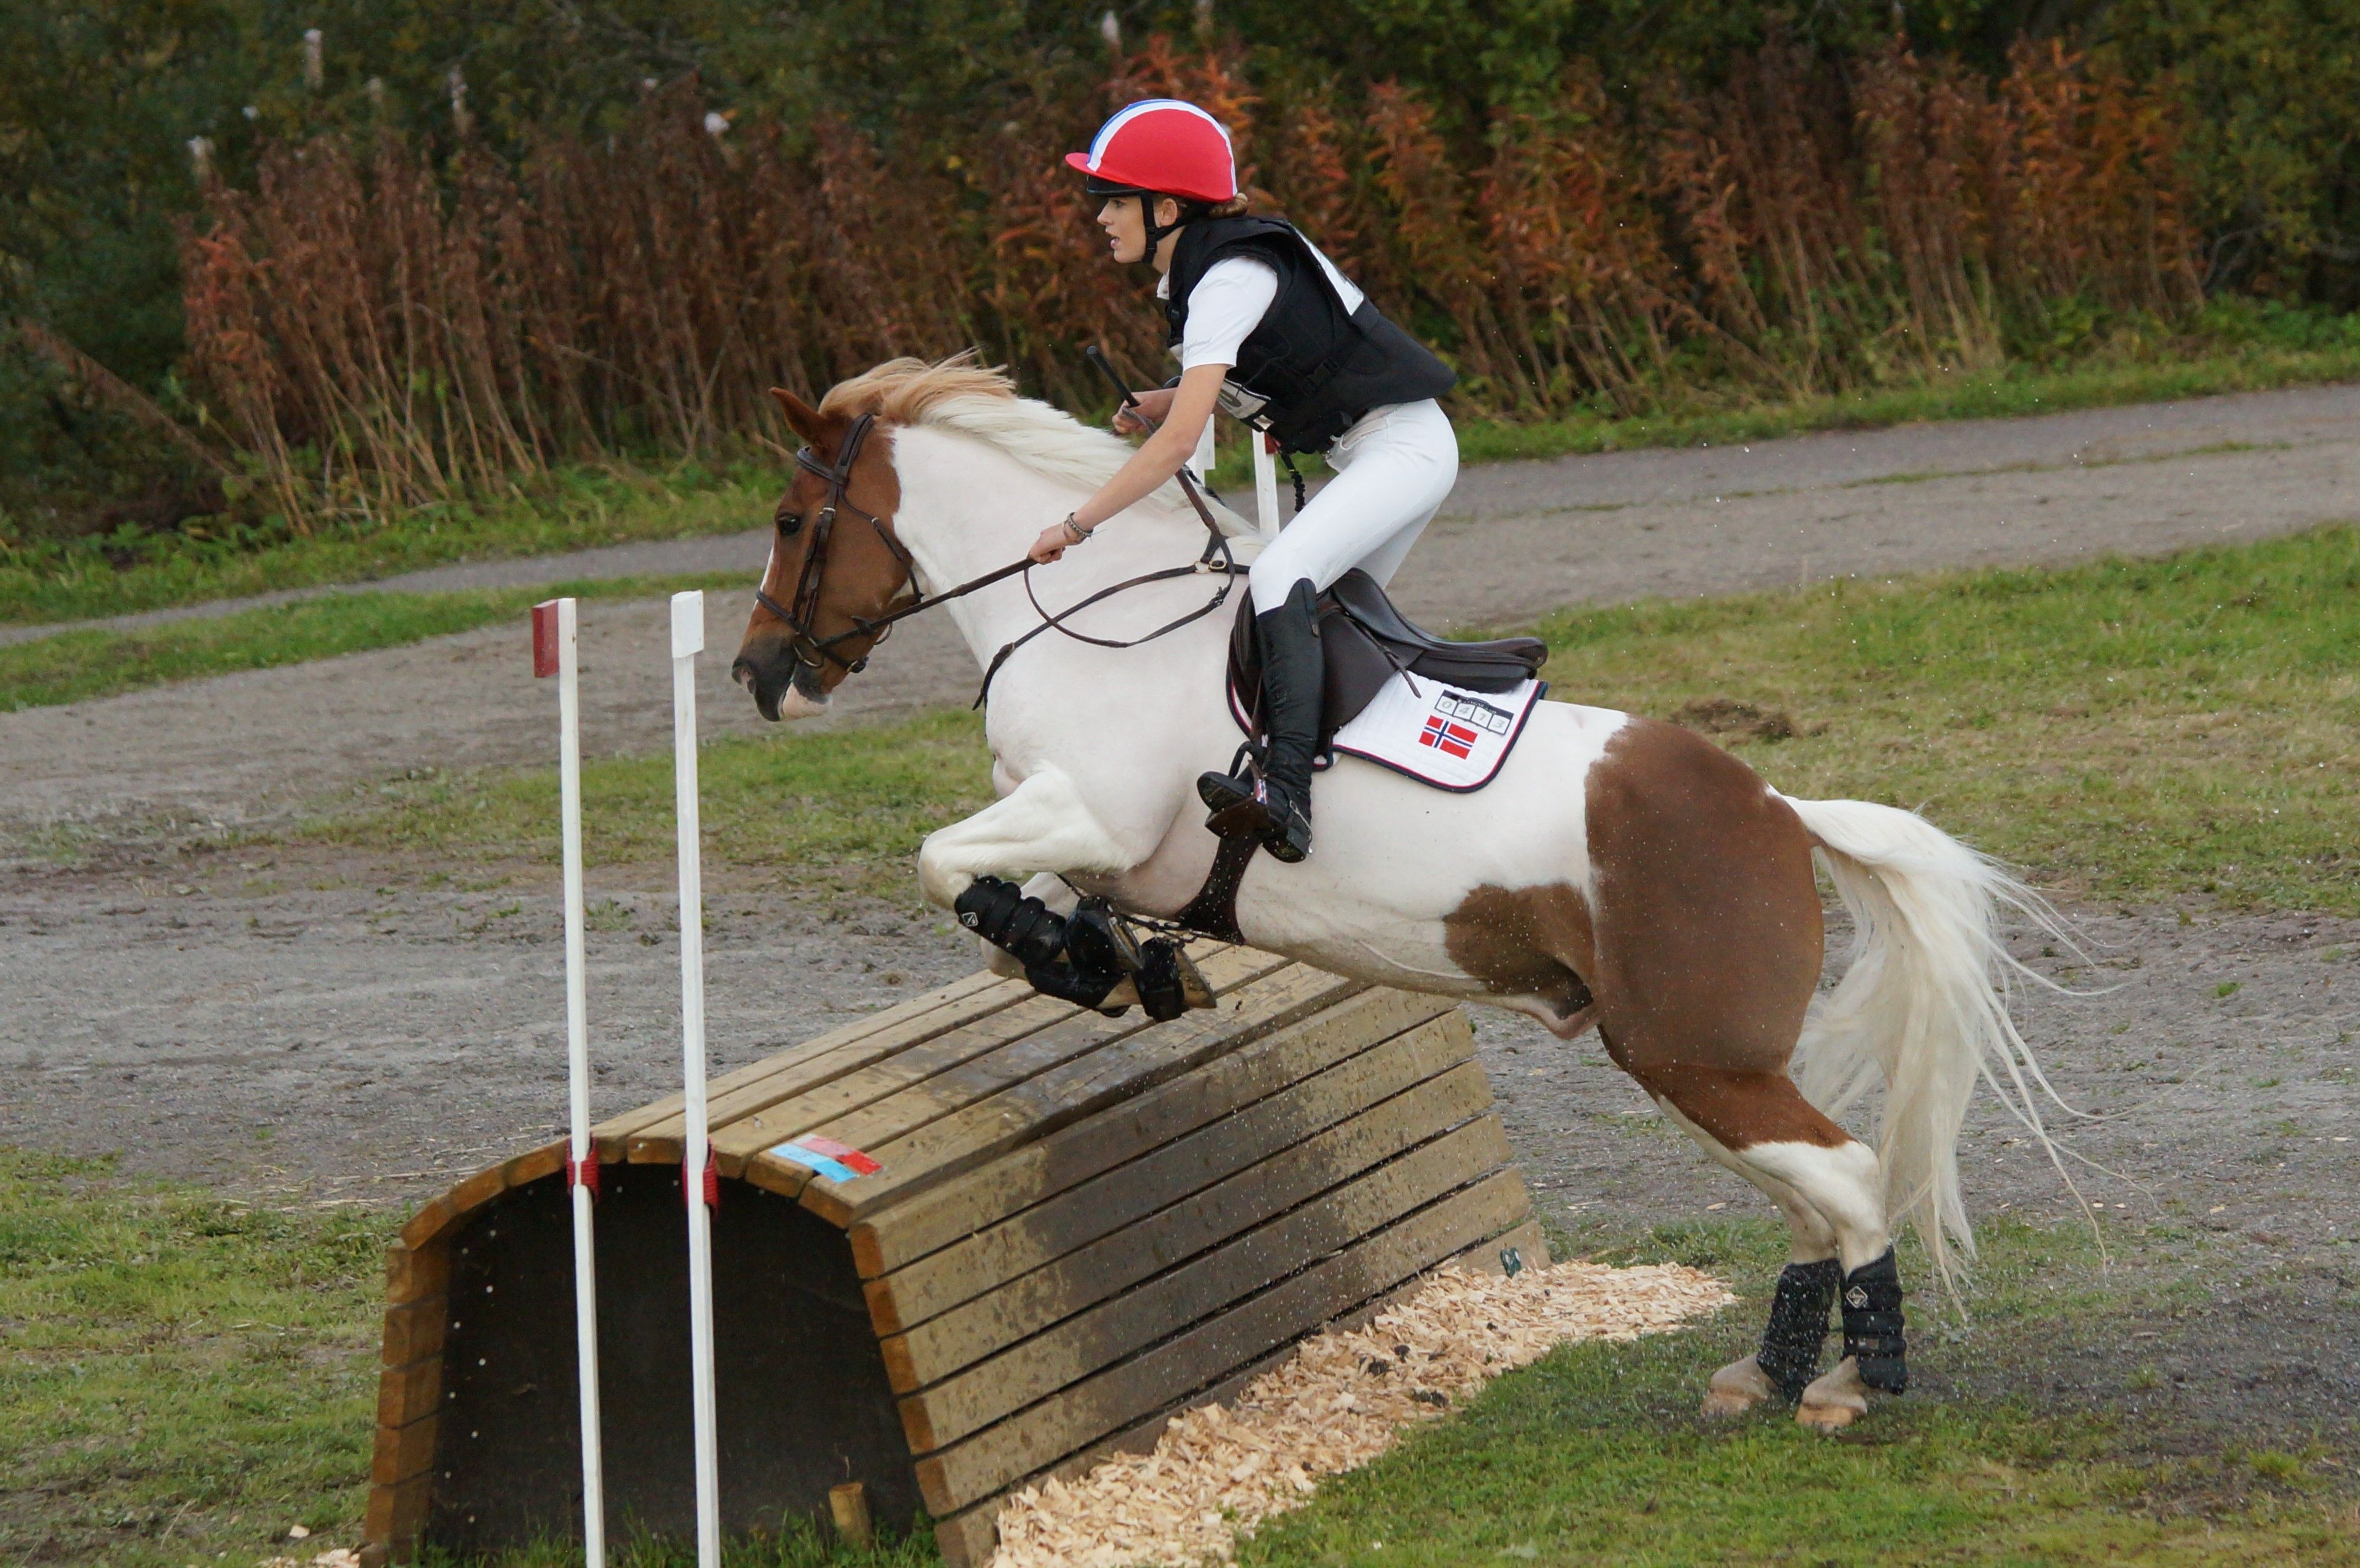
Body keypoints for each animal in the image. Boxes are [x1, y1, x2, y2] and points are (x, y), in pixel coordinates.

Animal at [730, 355, 2069, 1432]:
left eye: (793, 520)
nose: (755, 675)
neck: (1087, 619)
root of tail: (1780, 807)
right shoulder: (1081, 828)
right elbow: (998, 893)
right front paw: (1108, 957)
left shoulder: (1097, 811)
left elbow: (941, 859)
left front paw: (1080, 953)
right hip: (1682, 1061)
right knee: (1808, 1198)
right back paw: (1767, 1373)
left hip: (1696, 1058)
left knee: (1847, 1177)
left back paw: (1845, 1384)